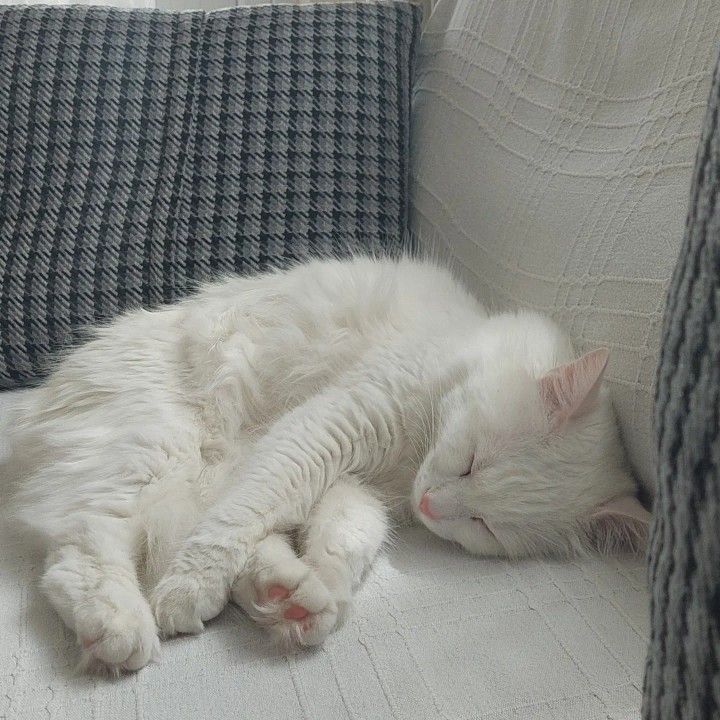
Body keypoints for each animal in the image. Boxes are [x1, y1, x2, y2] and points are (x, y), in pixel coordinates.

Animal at [5, 258, 648, 676]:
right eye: (470, 462)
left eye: (488, 526)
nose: (430, 506)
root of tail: (41, 399)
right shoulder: (331, 426)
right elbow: (246, 515)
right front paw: (191, 589)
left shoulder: (350, 484)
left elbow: (346, 537)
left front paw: (327, 587)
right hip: (155, 454)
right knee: (82, 549)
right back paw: (123, 627)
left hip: (187, 479)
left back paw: (289, 596)